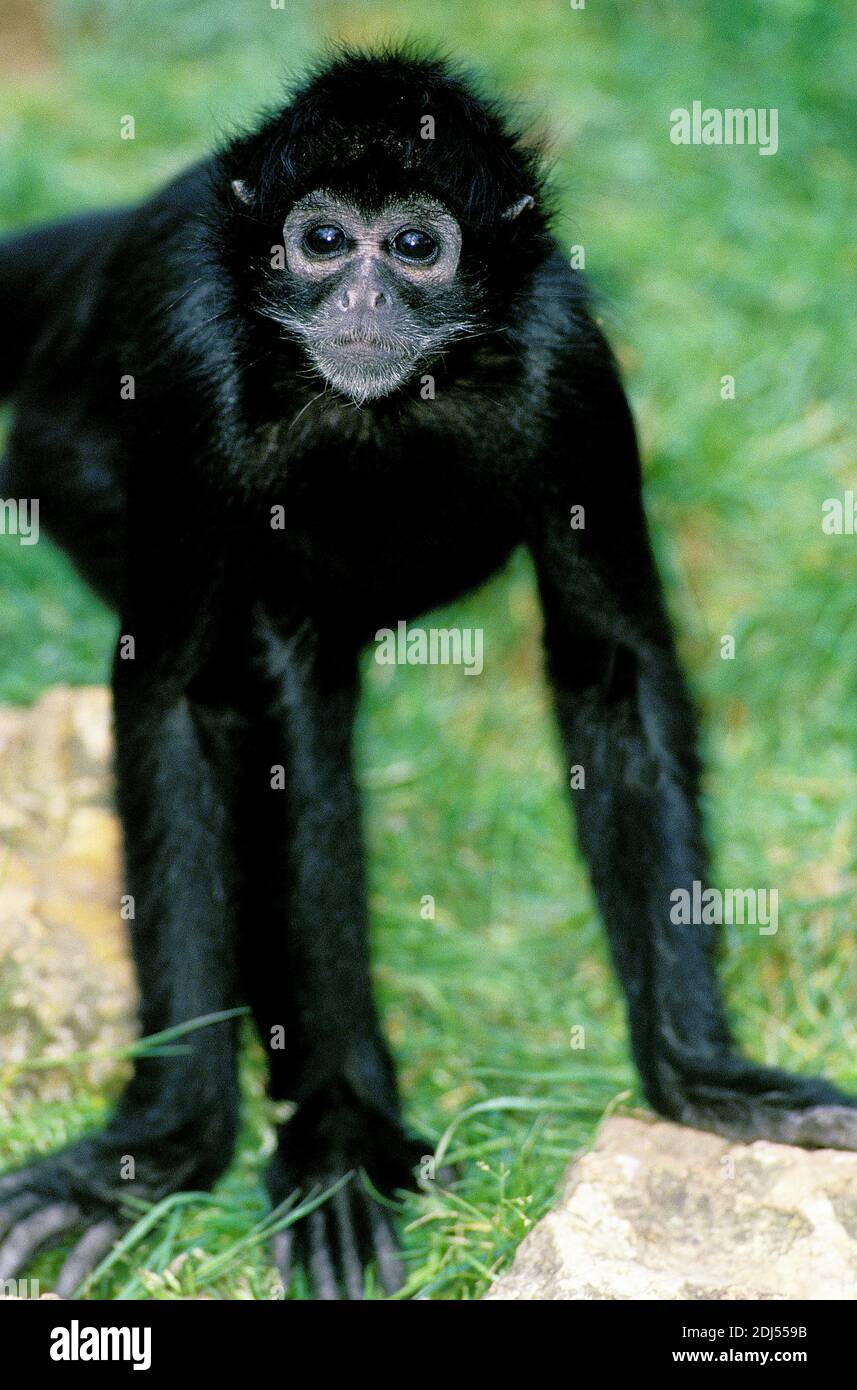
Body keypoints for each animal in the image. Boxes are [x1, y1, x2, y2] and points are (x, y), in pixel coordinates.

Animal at [0, 46, 854, 1301]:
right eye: (321, 242)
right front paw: (158, 1147)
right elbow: (178, 702)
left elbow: (610, 675)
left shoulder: (567, 371)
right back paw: (340, 1133)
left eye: (412, 247)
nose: (362, 301)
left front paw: (701, 1077)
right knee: (290, 673)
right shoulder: (192, 368)